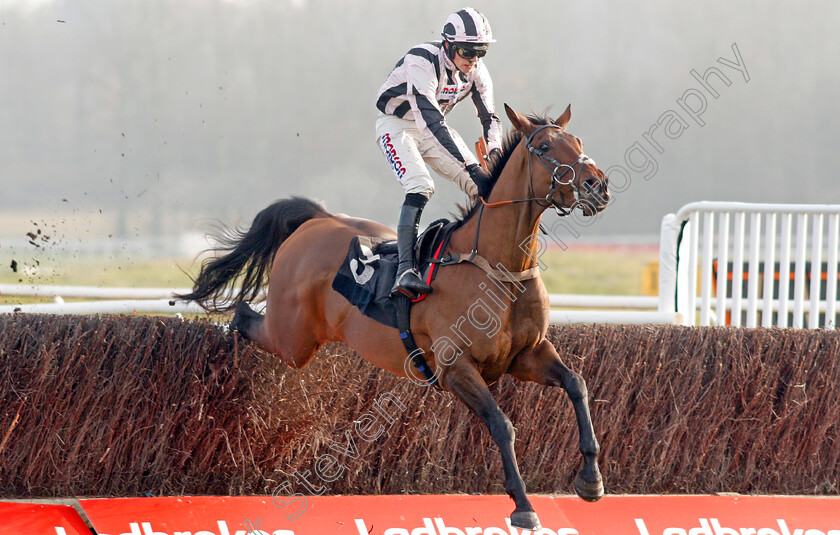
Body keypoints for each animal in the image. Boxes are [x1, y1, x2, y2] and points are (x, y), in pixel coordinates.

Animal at [179, 104, 612, 532]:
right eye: (544, 146)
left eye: (577, 141)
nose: (598, 185)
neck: (498, 267)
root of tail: (317, 218)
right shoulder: (456, 367)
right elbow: (502, 424)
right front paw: (523, 505)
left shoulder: (527, 355)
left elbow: (577, 384)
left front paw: (591, 480)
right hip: (292, 339)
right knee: (244, 316)